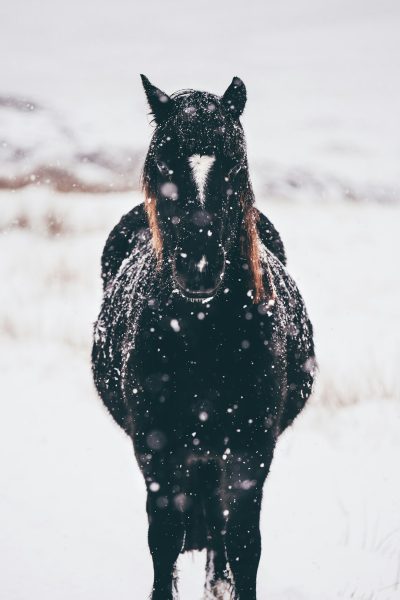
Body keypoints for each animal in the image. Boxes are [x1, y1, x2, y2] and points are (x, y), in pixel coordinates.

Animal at [91, 76, 316, 600]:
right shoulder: (157, 450)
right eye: (161, 163)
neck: (204, 337)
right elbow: (165, 537)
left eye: (234, 164)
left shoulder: (251, 449)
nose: (198, 269)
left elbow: (244, 540)